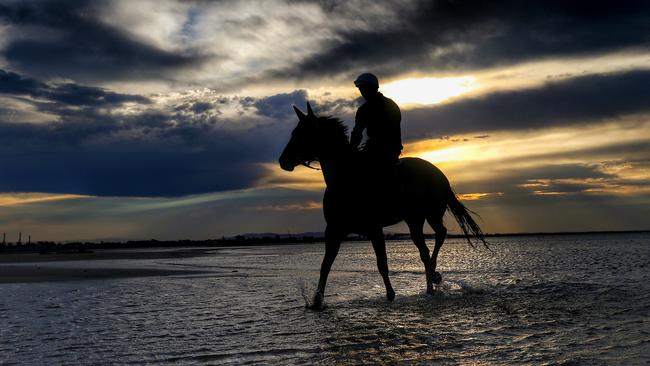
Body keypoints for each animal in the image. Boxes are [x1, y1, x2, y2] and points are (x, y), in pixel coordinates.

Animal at [278, 103, 486, 308]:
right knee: (424, 251)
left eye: (303, 134)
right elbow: (326, 264)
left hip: (432, 214)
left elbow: (382, 263)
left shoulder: (374, 228)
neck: (346, 179)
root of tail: (439, 174)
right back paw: (429, 286)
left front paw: (390, 294)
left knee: (440, 234)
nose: (282, 161)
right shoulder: (334, 230)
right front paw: (317, 300)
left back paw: (435, 276)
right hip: (414, 220)